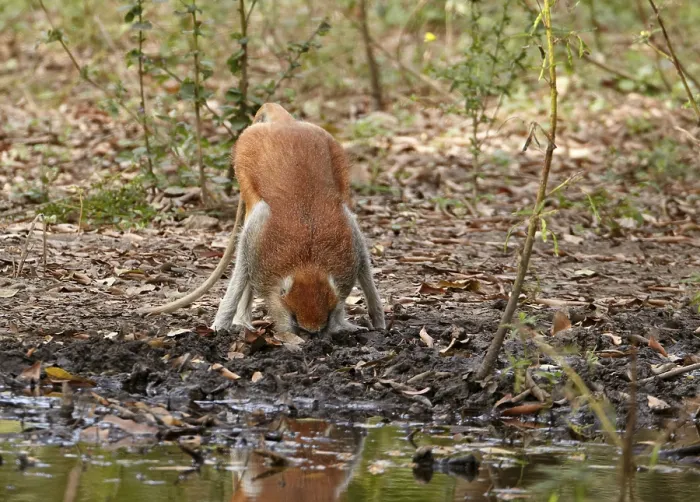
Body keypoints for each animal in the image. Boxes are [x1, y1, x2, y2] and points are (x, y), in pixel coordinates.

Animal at [142, 103, 385, 335]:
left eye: (324, 321)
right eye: (294, 319)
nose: (312, 337)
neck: (308, 262)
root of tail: (285, 124)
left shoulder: (349, 253)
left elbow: (358, 244)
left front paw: (358, 322)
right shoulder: (259, 245)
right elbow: (245, 256)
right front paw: (221, 324)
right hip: (244, 157)